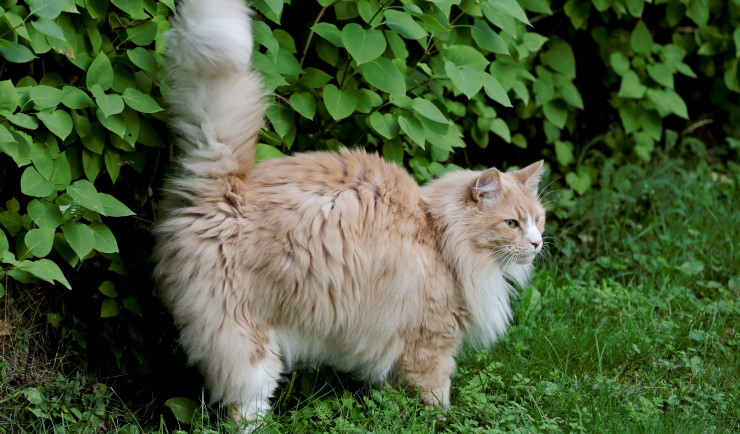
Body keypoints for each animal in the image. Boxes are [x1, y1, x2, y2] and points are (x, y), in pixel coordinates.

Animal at [153, 0, 548, 428]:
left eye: (538, 220)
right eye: (511, 223)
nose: (536, 243)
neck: (441, 236)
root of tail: (228, 188)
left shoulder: (396, 343)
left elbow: (392, 393)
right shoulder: (431, 342)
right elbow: (437, 395)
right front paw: (444, 423)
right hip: (249, 344)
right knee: (244, 406)